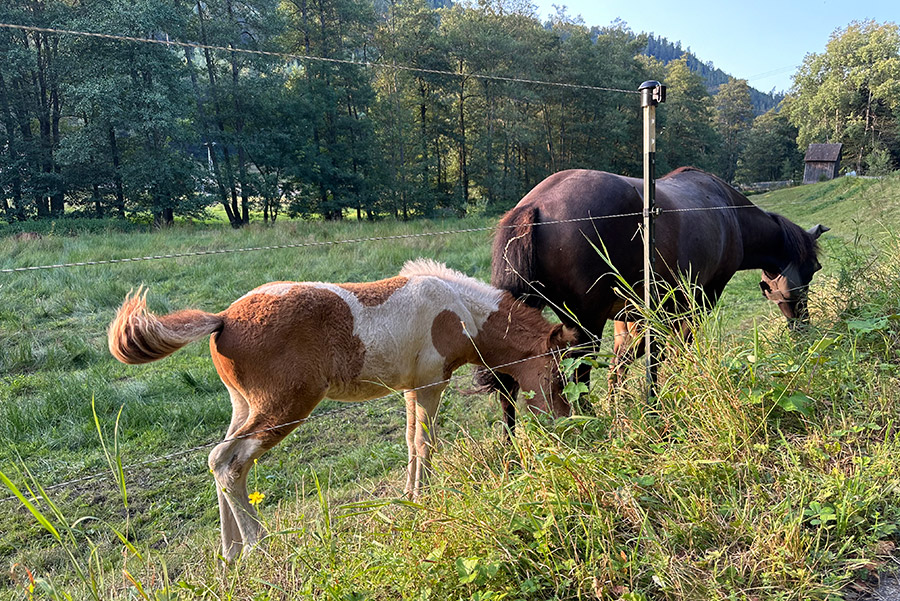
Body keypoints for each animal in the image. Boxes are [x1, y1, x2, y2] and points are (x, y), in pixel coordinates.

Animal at [110, 258, 576, 564]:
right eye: (557, 377)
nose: (566, 420)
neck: (457, 309)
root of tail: (223, 317)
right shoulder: (431, 384)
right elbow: (426, 443)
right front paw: (424, 501)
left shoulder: (412, 388)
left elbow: (411, 442)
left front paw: (409, 498)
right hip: (285, 407)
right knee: (229, 462)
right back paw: (260, 548)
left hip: (243, 406)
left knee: (218, 460)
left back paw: (231, 555)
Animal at [478, 166, 828, 424]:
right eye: (813, 269)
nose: (804, 328)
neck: (729, 212)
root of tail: (535, 204)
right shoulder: (700, 299)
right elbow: (679, 348)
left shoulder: (631, 318)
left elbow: (626, 364)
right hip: (585, 325)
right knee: (576, 374)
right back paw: (590, 421)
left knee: (509, 383)